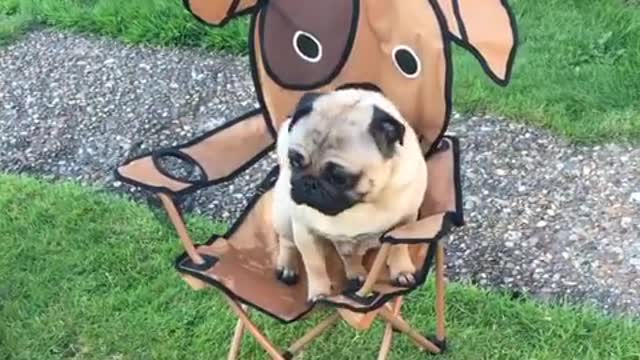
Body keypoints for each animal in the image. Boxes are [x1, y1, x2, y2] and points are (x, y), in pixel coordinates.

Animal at [270, 87, 424, 300]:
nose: (309, 183)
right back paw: (287, 267)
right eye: (294, 161)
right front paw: (319, 294)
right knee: (287, 242)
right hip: (284, 215)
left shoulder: (406, 221)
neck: (358, 205)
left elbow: (399, 247)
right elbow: (315, 266)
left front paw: (401, 271)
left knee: (350, 256)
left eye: (339, 178)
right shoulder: (304, 231)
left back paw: (356, 275)